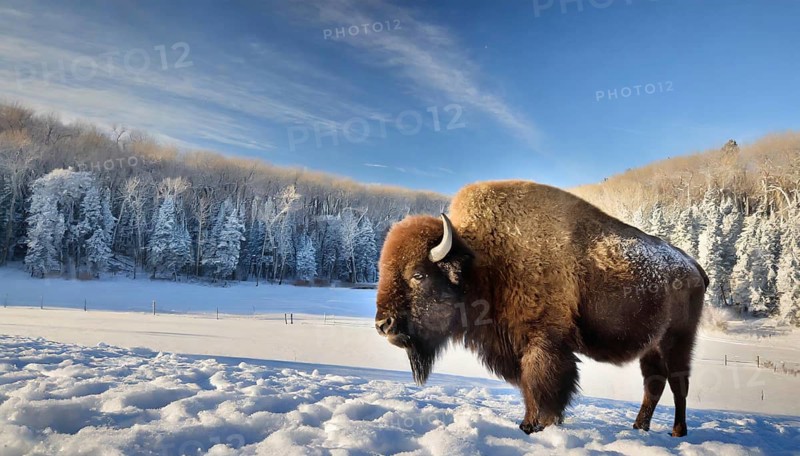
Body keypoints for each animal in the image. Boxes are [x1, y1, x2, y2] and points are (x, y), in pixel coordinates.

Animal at [374, 180, 707, 437]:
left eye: (418, 275)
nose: (382, 324)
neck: (484, 262)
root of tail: (694, 267)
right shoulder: (513, 346)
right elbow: (528, 385)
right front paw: (533, 422)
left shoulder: (543, 341)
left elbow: (541, 383)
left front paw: (535, 425)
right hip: (651, 347)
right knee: (654, 384)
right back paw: (639, 427)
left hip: (677, 340)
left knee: (678, 383)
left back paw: (677, 432)